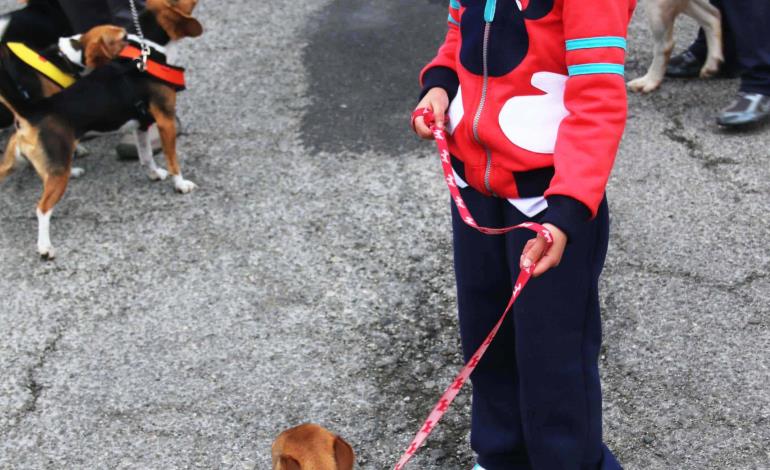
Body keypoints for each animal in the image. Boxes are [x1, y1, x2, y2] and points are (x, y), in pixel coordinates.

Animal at [0, 0, 202, 258]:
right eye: (121, 38)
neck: (150, 49)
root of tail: (31, 110)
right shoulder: (165, 120)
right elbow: (173, 160)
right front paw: (181, 184)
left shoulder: (142, 125)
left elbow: (146, 156)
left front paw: (154, 173)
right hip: (56, 175)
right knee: (42, 209)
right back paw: (45, 247)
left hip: (13, 163)